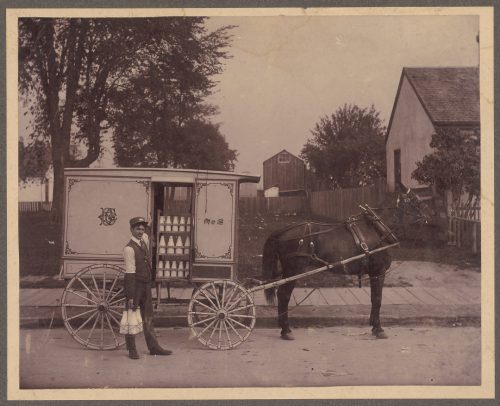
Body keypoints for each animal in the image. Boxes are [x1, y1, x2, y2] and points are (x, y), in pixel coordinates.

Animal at [262, 189, 430, 340]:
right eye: (415, 200)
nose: (429, 213)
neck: (377, 230)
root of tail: (282, 231)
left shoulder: (373, 273)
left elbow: (373, 299)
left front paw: (373, 326)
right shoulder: (379, 271)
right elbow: (378, 299)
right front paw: (379, 329)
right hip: (294, 269)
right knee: (283, 295)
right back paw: (286, 330)